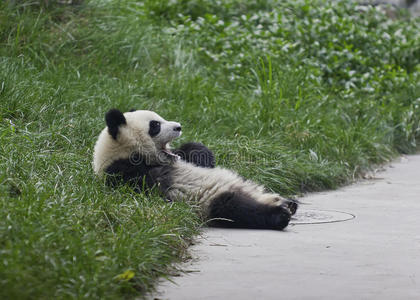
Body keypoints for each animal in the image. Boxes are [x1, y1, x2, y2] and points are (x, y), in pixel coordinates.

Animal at [93, 108, 296, 230]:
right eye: (155, 125)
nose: (178, 127)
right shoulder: (121, 172)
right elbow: (149, 184)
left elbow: (195, 154)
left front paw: (198, 152)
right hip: (212, 201)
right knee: (238, 208)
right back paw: (281, 213)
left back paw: (290, 203)